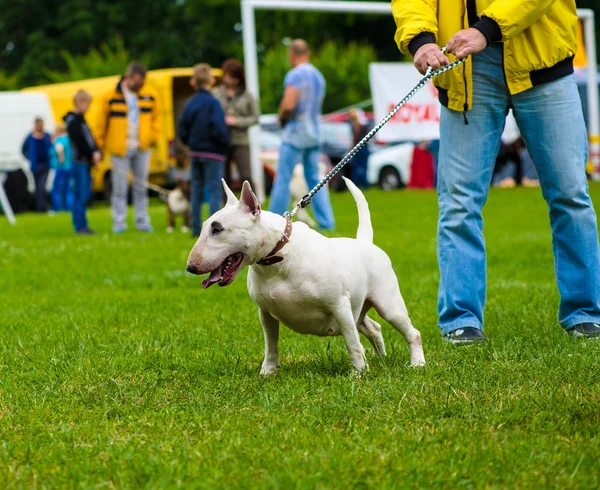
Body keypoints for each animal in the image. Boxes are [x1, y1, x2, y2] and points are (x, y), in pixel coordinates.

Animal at [185, 178, 424, 374]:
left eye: (217, 229)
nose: (190, 267)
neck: (278, 257)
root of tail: (365, 242)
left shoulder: (339, 305)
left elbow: (352, 343)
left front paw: (358, 374)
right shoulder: (266, 312)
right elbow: (271, 344)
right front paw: (267, 372)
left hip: (387, 304)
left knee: (411, 333)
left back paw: (417, 364)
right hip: (359, 310)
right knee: (374, 328)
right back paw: (380, 358)